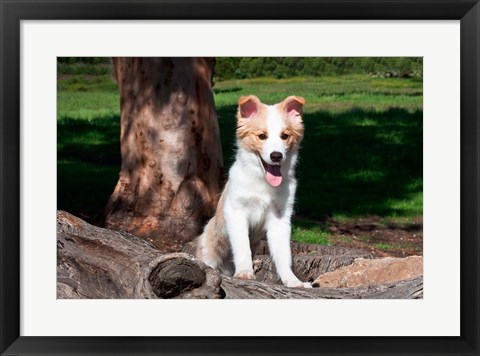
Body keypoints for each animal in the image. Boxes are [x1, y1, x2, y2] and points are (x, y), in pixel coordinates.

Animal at [196, 95, 312, 290]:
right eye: (262, 136)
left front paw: (293, 281)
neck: (262, 181)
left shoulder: (280, 218)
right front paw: (244, 272)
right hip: (209, 246)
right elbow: (242, 246)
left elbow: (283, 254)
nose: (276, 156)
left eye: (285, 136)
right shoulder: (236, 212)